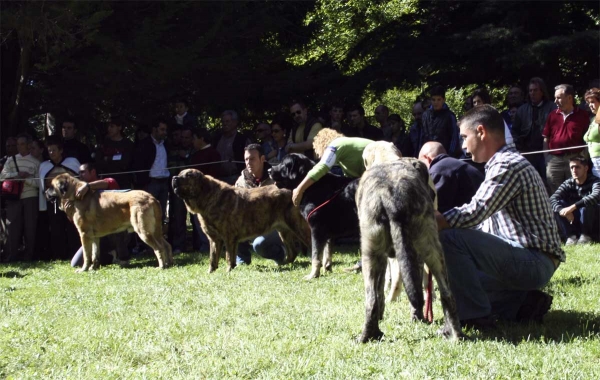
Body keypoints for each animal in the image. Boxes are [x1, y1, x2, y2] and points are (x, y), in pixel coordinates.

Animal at [170, 169, 308, 274]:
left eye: (189, 175)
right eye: (180, 173)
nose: (174, 178)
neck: (206, 197)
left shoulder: (228, 237)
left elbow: (228, 256)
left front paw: (228, 271)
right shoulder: (214, 239)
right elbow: (213, 257)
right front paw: (211, 272)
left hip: (298, 227)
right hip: (284, 231)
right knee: (292, 252)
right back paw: (282, 264)